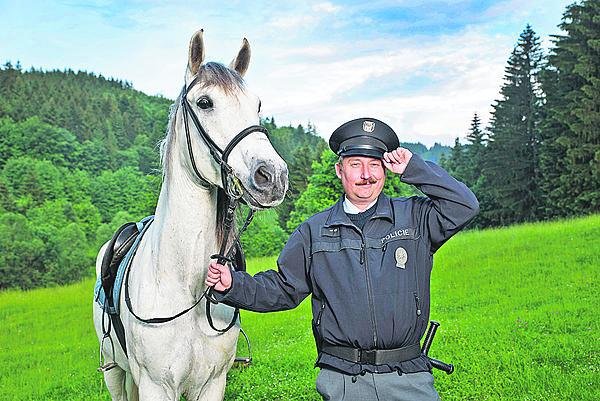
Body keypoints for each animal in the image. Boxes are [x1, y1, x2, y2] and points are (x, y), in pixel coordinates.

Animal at [93, 31, 288, 400]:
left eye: (256, 104)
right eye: (205, 102)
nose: (272, 176)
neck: (183, 287)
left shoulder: (212, 383)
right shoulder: (155, 386)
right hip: (113, 372)